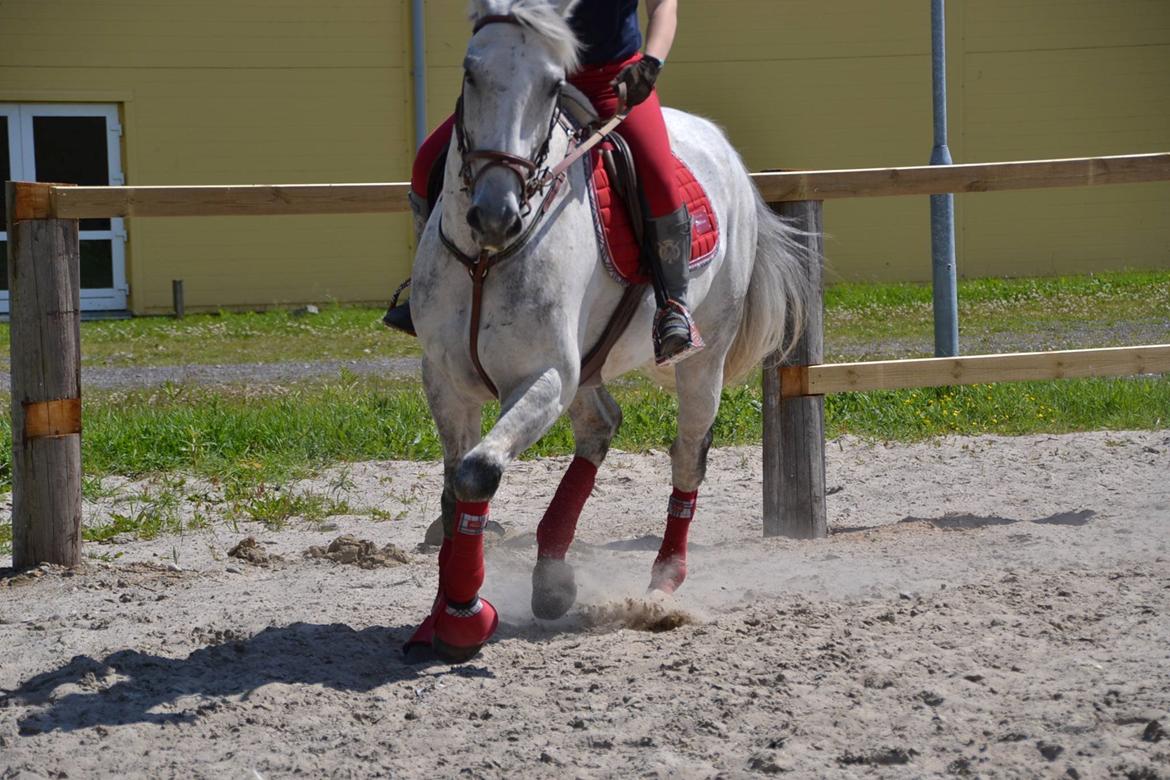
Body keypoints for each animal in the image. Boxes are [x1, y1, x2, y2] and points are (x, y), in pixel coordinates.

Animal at [407, 0, 809, 664]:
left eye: (551, 85)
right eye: (471, 73)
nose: (495, 214)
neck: (488, 259)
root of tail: (723, 147)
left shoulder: (544, 377)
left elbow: (478, 472)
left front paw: (465, 617)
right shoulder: (445, 379)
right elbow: (452, 488)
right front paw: (436, 620)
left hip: (701, 361)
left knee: (688, 454)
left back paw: (663, 582)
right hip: (589, 367)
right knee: (600, 426)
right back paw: (552, 576)